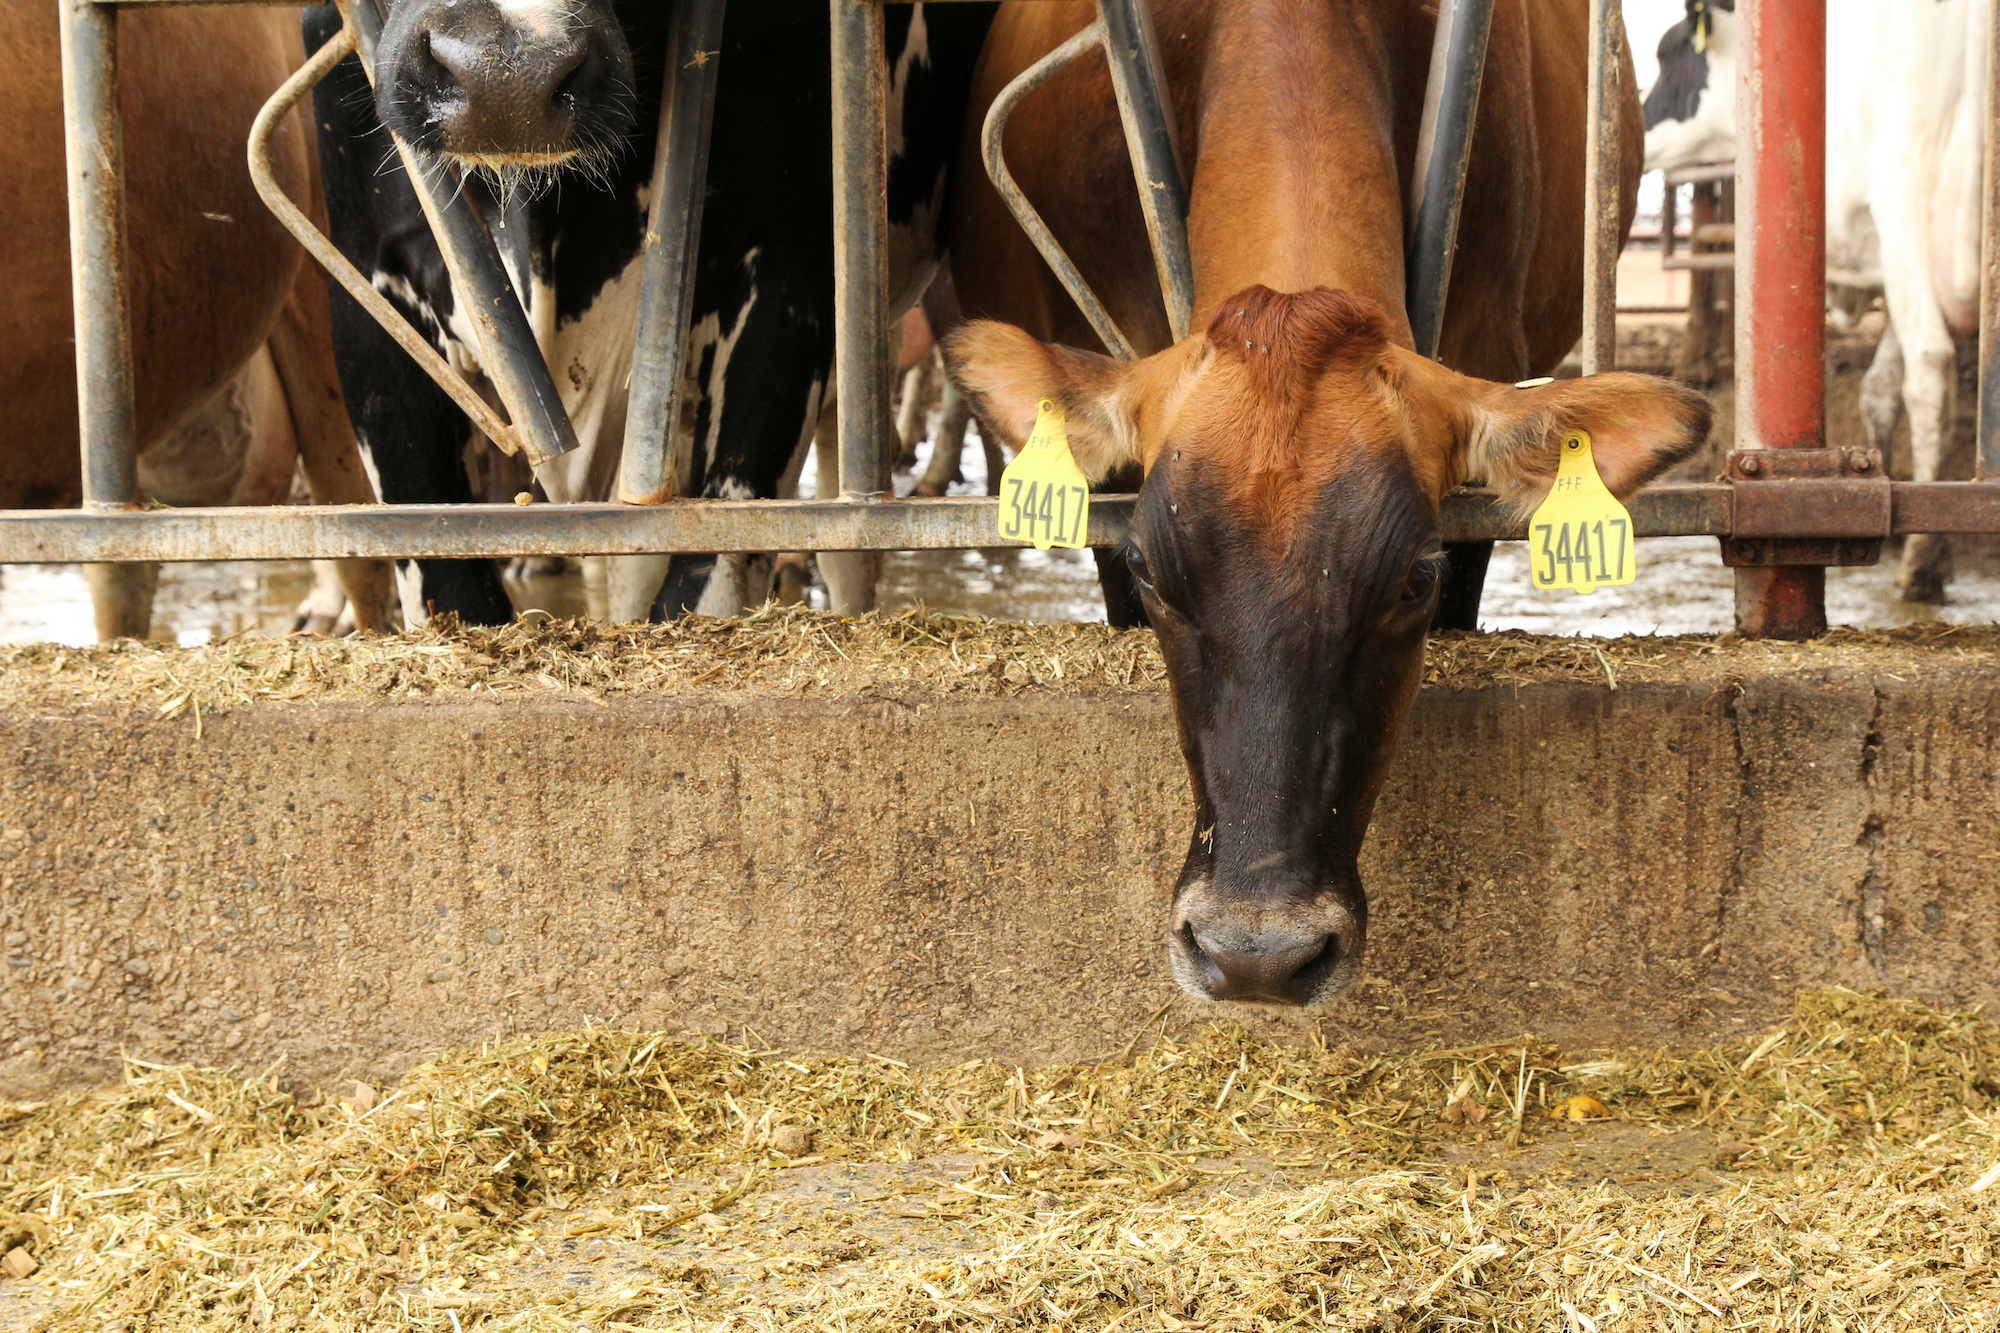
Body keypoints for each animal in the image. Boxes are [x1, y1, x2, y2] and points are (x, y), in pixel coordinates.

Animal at [1640, 0, 1984, 596]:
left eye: (1668, 51)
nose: (1637, 126)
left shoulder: (1896, 246)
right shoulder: (1889, 269)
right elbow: (1877, 389)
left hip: (1906, 199)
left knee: (1931, 365)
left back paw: (1921, 566)